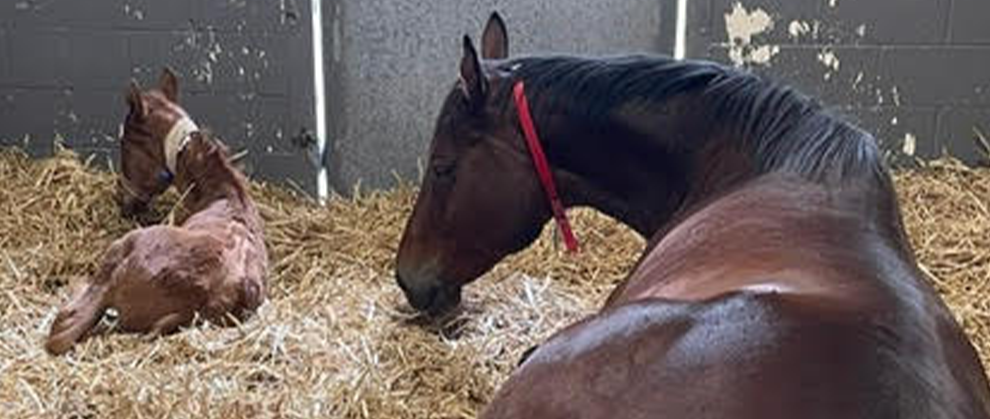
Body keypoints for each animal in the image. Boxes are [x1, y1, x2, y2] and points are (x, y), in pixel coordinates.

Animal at [45, 73, 268, 355]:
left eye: (125, 144)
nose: (122, 199)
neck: (225, 194)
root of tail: (203, 299)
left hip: (120, 251)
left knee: (65, 326)